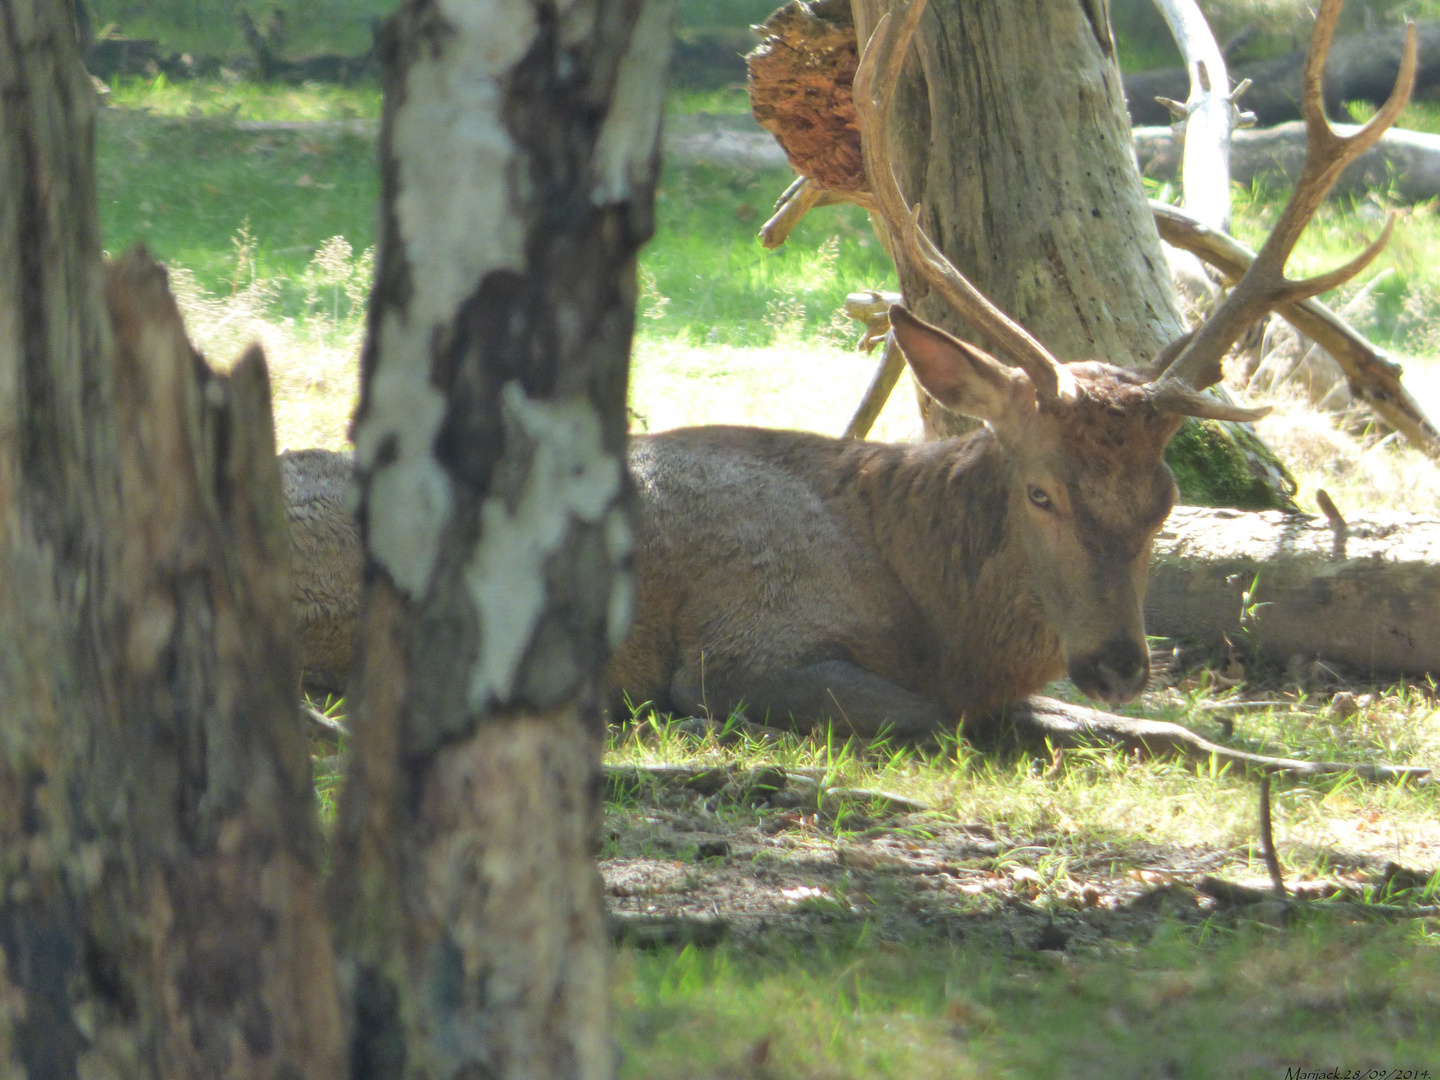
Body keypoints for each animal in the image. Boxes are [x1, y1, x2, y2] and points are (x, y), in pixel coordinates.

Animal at [604, 0, 1416, 743]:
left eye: (1166, 501)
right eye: (1041, 493)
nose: (1119, 666)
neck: (938, 630)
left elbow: (1168, 732)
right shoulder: (743, 644)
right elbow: (938, 717)